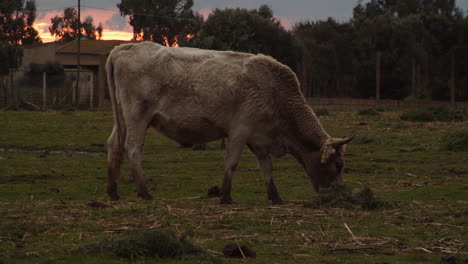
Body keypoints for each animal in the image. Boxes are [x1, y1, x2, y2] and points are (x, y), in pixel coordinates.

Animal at [104, 41, 352, 204]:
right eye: (338, 165)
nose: (340, 193)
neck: (274, 90)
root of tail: (124, 48)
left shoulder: (260, 139)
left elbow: (266, 167)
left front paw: (275, 197)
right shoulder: (240, 130)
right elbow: (231, 162)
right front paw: (225, 196)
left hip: (122, 120)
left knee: (114, 145)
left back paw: (113, 191)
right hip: (138, 117)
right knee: (132, 148)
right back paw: (144, 192)